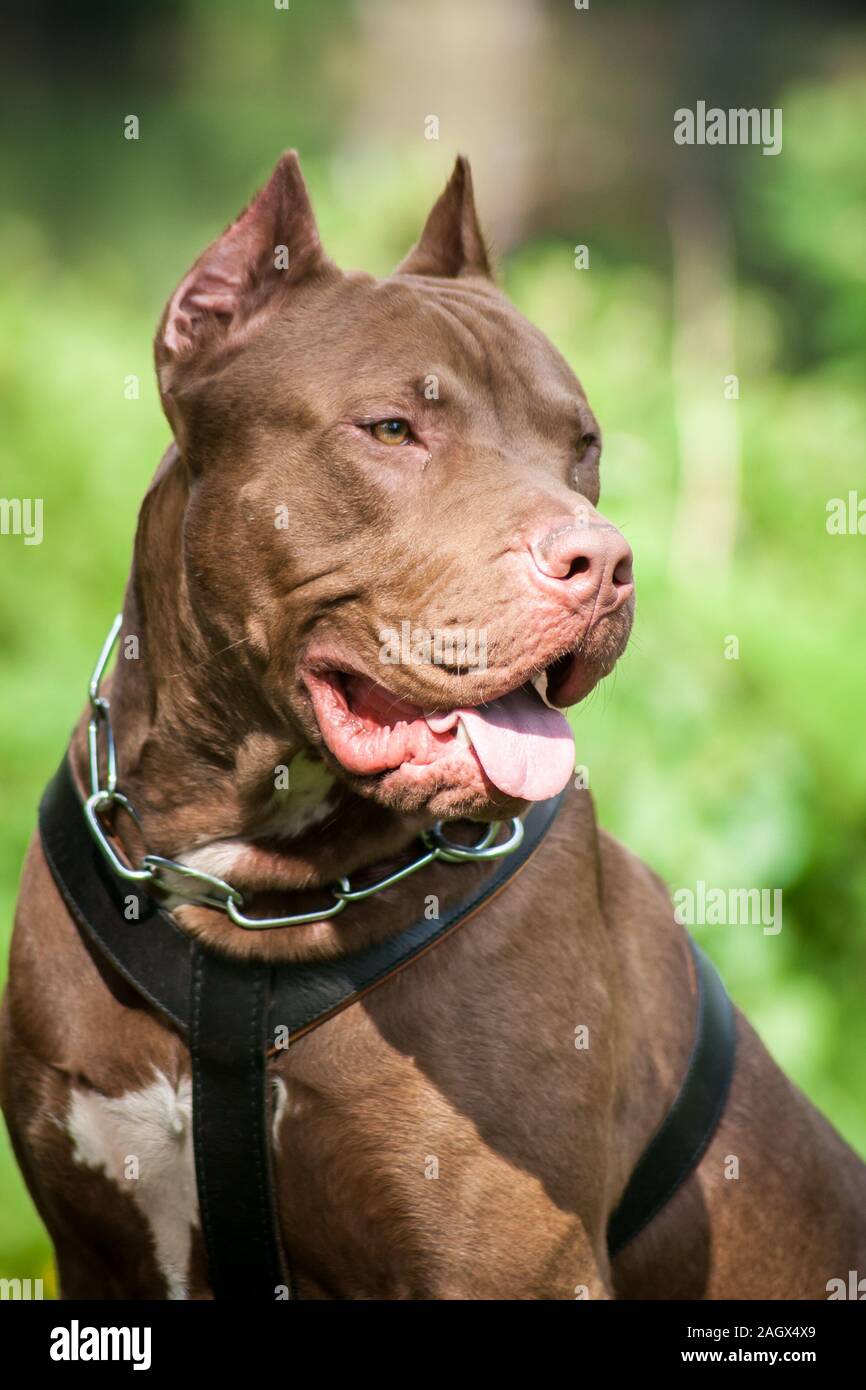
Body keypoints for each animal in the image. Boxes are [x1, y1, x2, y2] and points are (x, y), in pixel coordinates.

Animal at [1, 157, 866, 1295]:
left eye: (582, 446)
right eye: (392, 430)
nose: (603, 560)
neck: (240, 892)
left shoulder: (508, 1260)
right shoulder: (100, 1249)